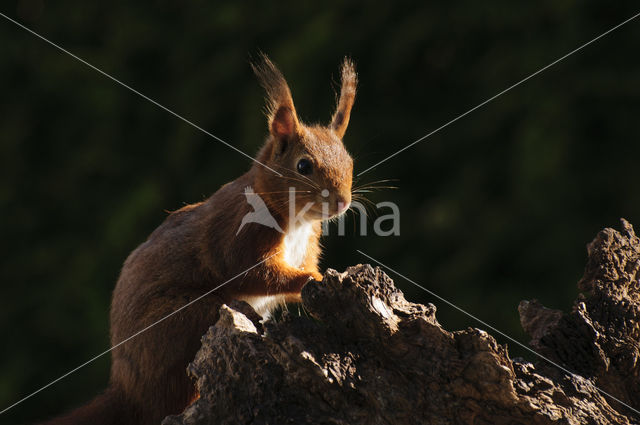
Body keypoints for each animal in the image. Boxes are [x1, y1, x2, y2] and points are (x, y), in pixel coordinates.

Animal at [43, 54, 358, 422]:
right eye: (304, 166)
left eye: (350, 161)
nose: (342, 201)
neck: (296, 221)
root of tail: (128, 392)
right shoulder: (240, 237)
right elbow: (259, 274)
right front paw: (313, 279)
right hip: (182, 323)